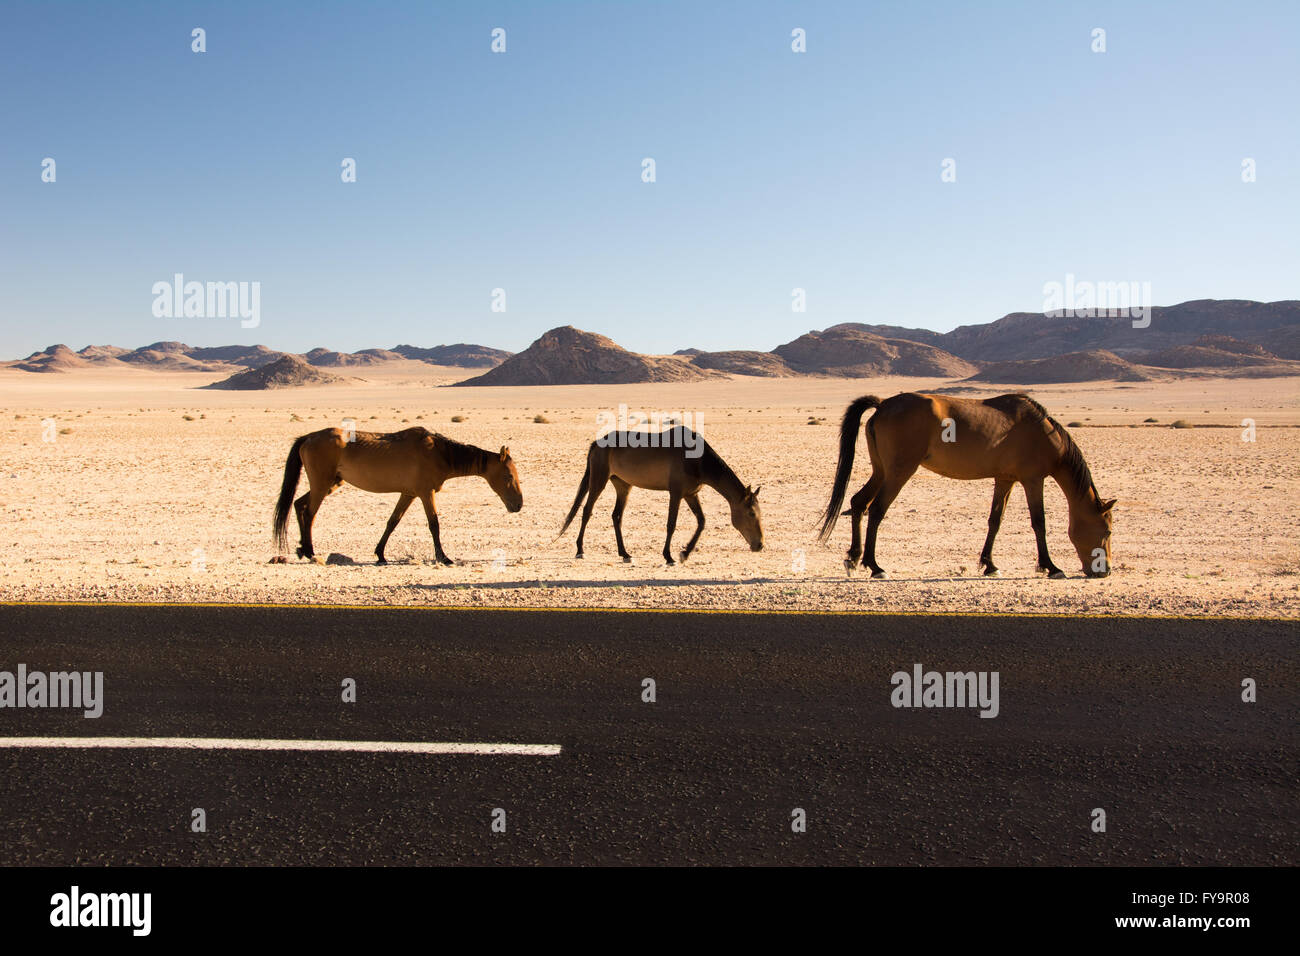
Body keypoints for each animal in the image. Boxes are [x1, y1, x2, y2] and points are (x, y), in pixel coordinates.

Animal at [271, 424, 520, 561]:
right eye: (509, 477)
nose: (518, 505)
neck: (440, 453)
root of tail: (308, 437)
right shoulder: (426, 492)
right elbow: (434, 524)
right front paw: (443, 557)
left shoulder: (408, 493)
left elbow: (393, 522)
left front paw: (380, 554)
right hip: (322, 484)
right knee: (309, 513)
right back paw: (310, 551)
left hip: (330, 483)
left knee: (299, 505)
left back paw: (302, 548)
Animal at [556, 429, 759, 567]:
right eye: (751, 513)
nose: (760, 544)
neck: (697, 459)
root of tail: (597, 443)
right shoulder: (676, 493)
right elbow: (671, 524)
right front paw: (669, 556)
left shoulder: (691, 494)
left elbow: (701, 521)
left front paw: (685, 553)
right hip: (598, 480)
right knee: (587, 511)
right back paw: (580, 550)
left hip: (623, 486)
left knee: (616, 516)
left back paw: (625, 553)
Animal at [821, 392, 1118, 580]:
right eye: (1107, 531)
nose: (1105, 570)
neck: (1042, 432)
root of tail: (883, 405)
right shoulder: (1033, 480)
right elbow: (1039, 522)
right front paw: (1051, 566)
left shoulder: (1005, 479)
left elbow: (995, 520)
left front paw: (990, 565)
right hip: (898, 472)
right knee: (876, 510)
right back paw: (875, 566)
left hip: (881, 471)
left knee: (859, 503)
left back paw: (853, 558)